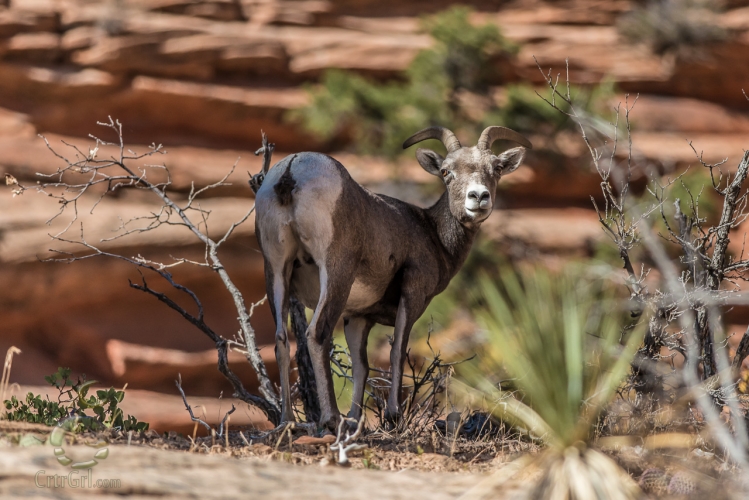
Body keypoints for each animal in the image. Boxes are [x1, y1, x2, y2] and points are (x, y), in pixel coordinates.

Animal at [252, 126, 531, 430]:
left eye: (496, 168)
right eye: (446, 171)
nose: (478, 197)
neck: (432, 234)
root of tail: (292, 170)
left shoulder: (357, 317)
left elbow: (361, 366)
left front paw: (356, 420)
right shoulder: (412, 293)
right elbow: (397, 349)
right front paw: (393, 415)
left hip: (276, 270)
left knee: (280, 339)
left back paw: (287, 422)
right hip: (336, 272)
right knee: (317, 333)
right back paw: (331, 419)